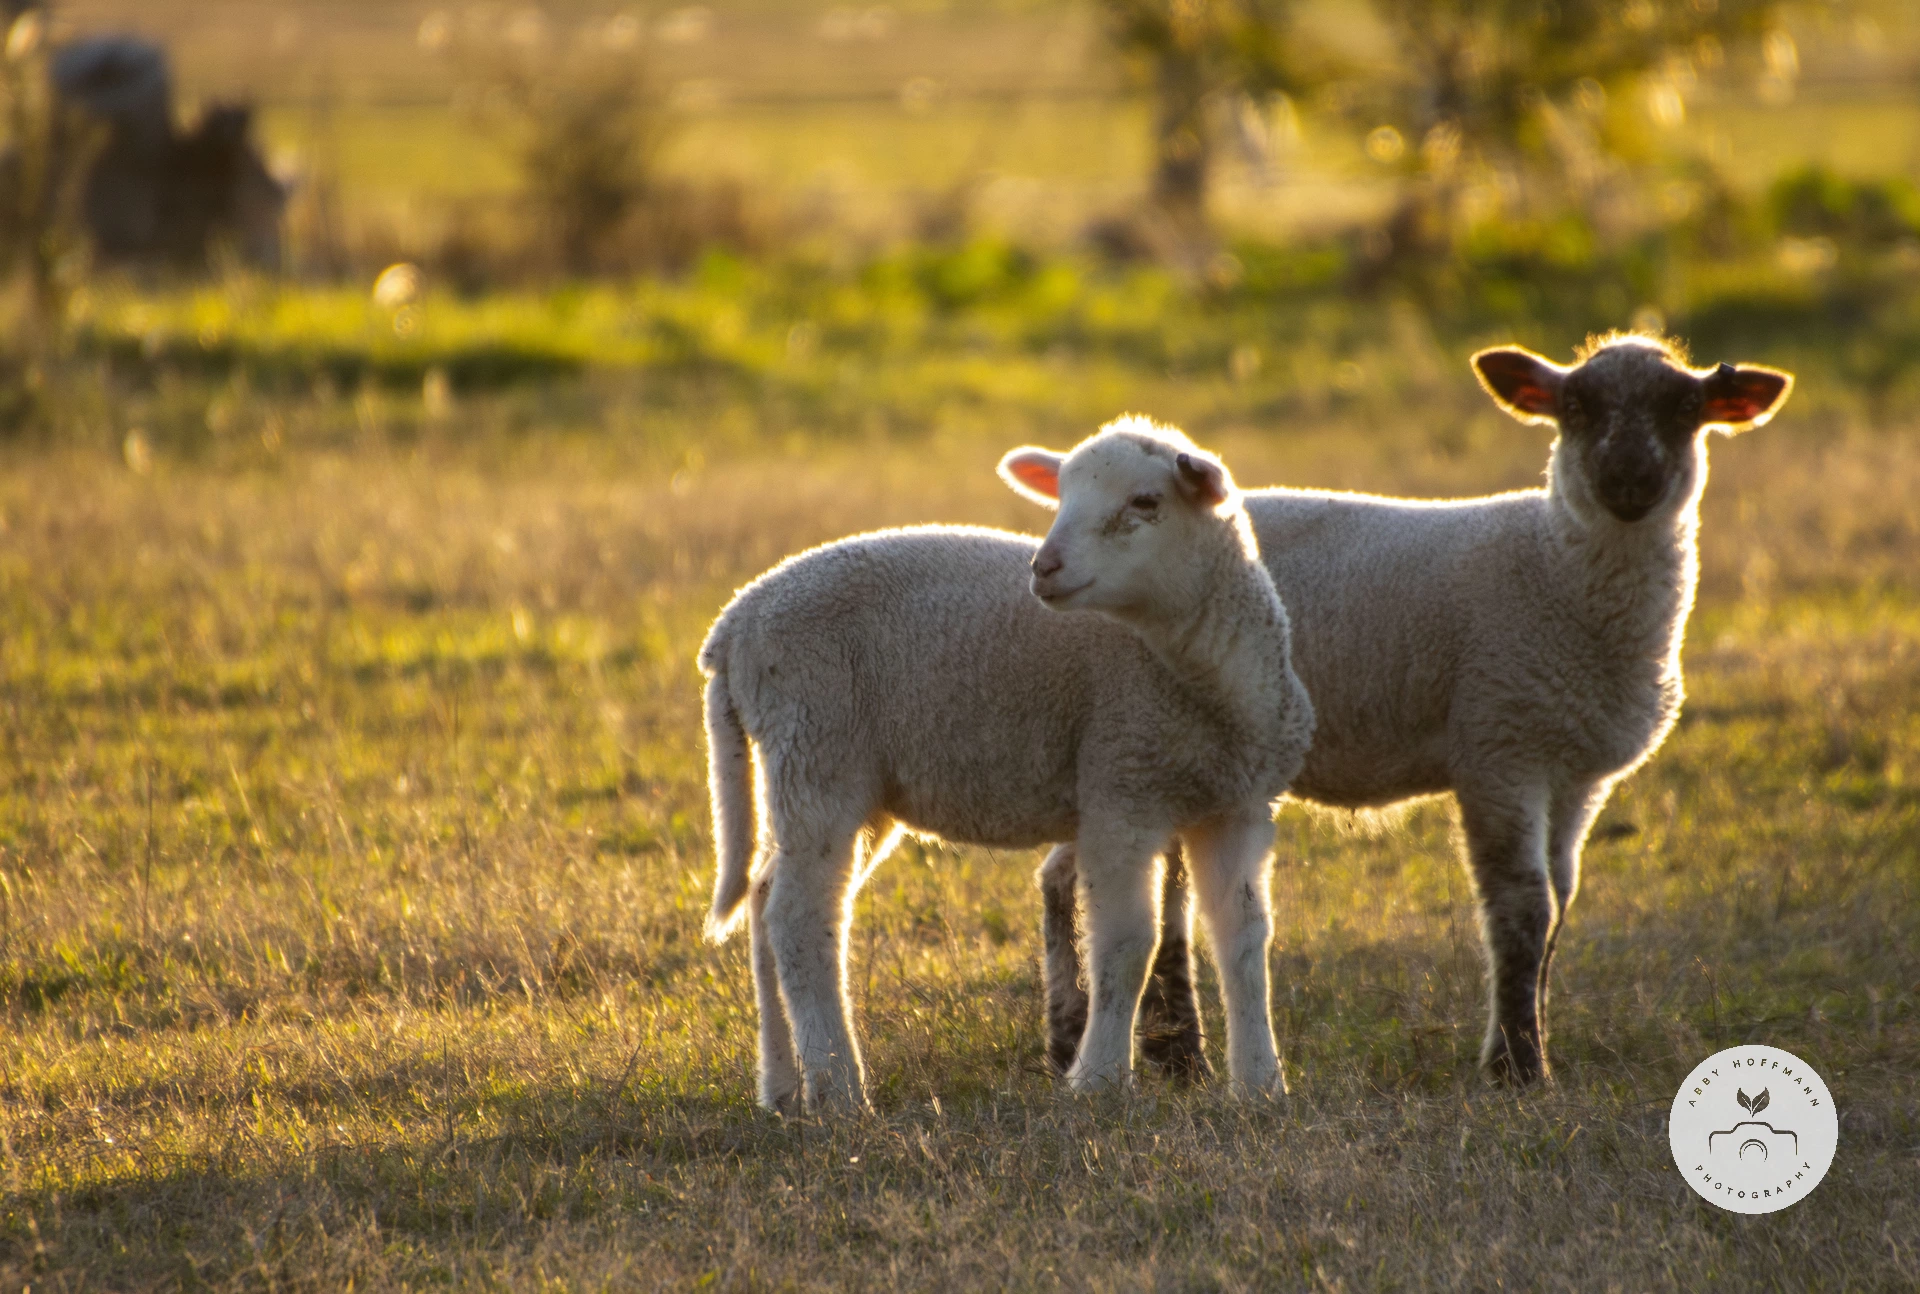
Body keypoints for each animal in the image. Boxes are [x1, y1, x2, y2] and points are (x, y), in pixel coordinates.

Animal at [699, 417, 1315, 1112]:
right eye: (1061, 498)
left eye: (1145, 502)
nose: (1042, 567)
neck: (1201, 682)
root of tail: (734, 624)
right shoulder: (1120, 788)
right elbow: (1127, 944)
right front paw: (1099, 1080)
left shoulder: (1237, 806)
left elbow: (1245, 940)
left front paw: (1262, 1085)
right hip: (816, 749)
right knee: (800, 922)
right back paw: (839, 1092)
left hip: (842, 776)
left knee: (764, 899)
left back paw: (783, 1087)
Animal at [1042, 335, 1794, 1086]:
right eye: (1576, 407)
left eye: (1687, 408)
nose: (1630, 481)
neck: (1555, 564)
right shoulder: (1500, 746)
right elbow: (1522, 905)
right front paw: (1515, 1067)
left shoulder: (1576, 775)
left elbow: (1559, 905)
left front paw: (1530, 1041)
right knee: (1095, 881)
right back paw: (1131, 1045)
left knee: (1091, 877)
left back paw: (1120, 1047)